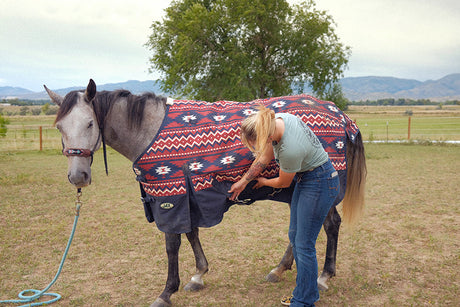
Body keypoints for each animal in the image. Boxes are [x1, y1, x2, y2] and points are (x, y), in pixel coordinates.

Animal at [45, 80, 364, 307]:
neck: (148, 130)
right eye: (59, 127)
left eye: (90, 123)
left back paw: (323, 277)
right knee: (301, 231)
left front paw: (166, 292)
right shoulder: (188, 196)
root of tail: (339, 114)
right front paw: (199, 274)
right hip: (294, 187)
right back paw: (280, 269)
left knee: (329, 225)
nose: (78, 176)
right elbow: (191, 234)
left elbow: (173, 244)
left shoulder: (170, 198)